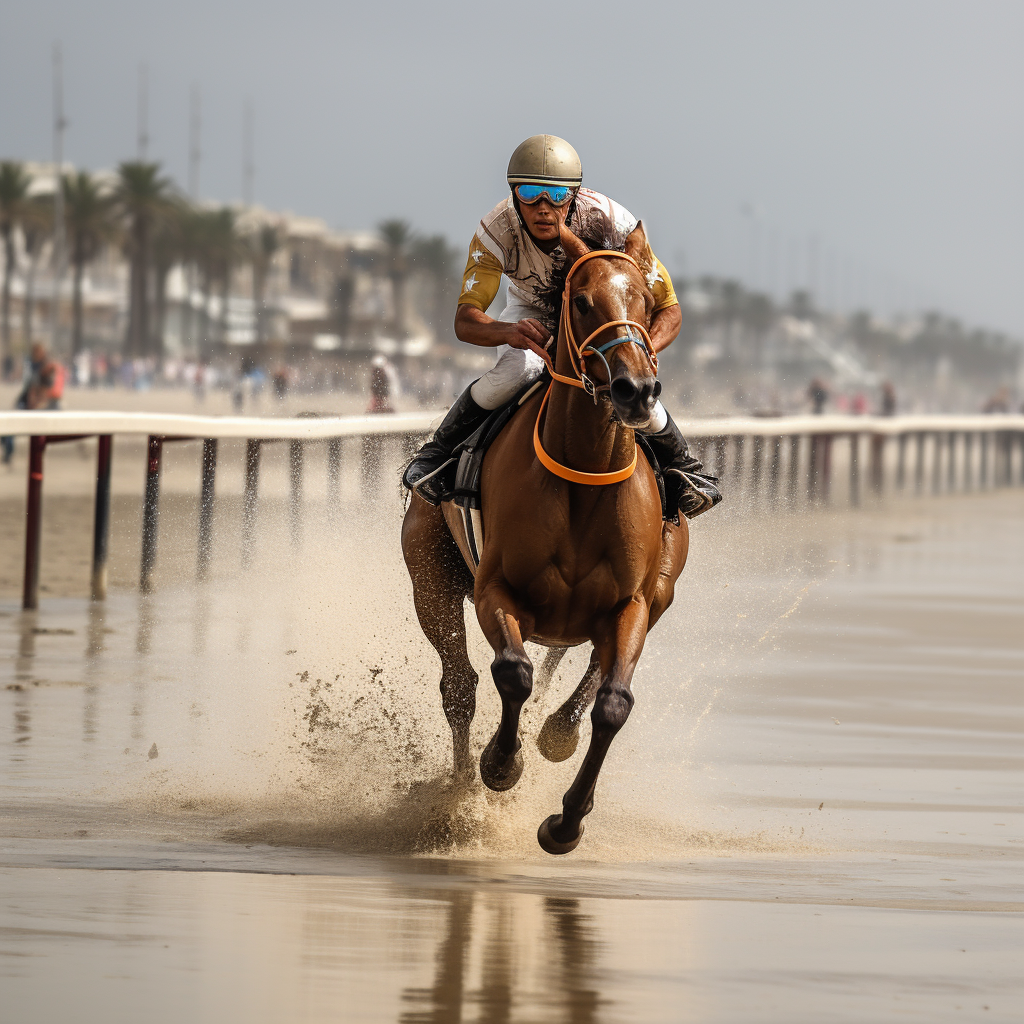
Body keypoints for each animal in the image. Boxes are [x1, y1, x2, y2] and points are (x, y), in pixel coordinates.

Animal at [399, 224, 688, 856]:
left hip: (655, 594)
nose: (636, 390)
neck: (583, 476)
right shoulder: (496, 589)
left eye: (644, 302)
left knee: (588, 673)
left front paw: (566, 820)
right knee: (460, 687)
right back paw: (459, 793)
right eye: (580, 302)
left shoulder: (634, 602)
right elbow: (513, 672)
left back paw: (557, 732)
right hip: (430, 578)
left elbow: (613, 702)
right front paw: (499, 766)